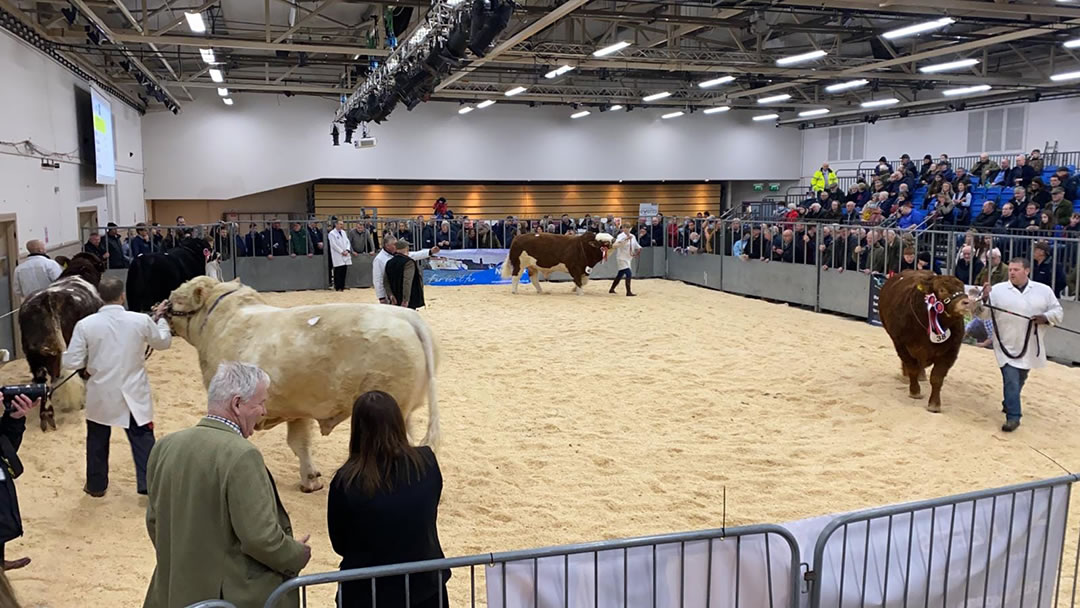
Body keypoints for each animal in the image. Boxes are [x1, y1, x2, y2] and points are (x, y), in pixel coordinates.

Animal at [164, 278, 438, 492]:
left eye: (177, 298)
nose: (160, 306)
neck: (218, 324)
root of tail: (405, 315)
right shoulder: (297, 409)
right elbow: (300, 443)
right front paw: (311, 480)